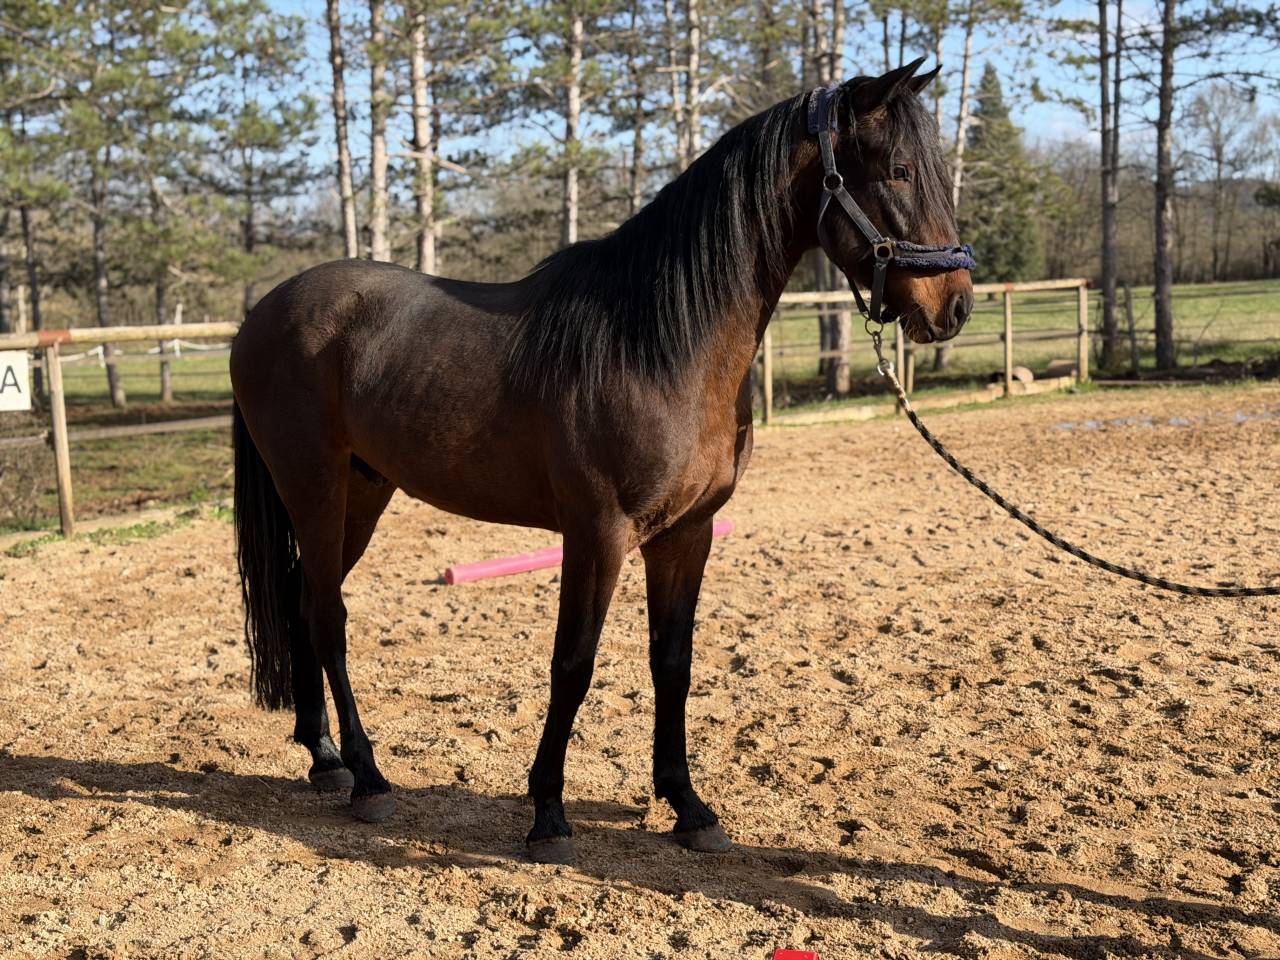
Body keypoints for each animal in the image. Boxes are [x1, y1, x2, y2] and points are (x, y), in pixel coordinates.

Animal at [229, 57, 974, 864]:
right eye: (898, 170)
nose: (955, 305)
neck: (658, 342)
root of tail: (262, 314)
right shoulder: (597, 533)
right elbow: (574, 663)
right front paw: (548, 814)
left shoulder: (687, 534)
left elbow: (672, 662)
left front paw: (688, 806)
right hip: (315, 486)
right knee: (329, 614)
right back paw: (367, 779)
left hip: (363, 492)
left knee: (305, 602)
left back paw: (325, 758)